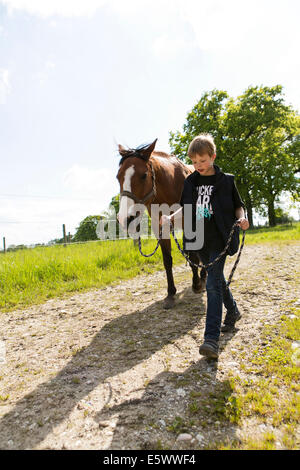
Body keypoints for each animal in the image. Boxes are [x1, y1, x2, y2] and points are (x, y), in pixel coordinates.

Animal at [115, 140, 206, 308]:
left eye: (144, 175)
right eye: (118, 177)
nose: (125, 218)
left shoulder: (190, 225)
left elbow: (194, 255)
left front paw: (197, 284)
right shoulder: (160, 228)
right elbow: (167, 260)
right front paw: (171, 293)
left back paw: (203, 277)